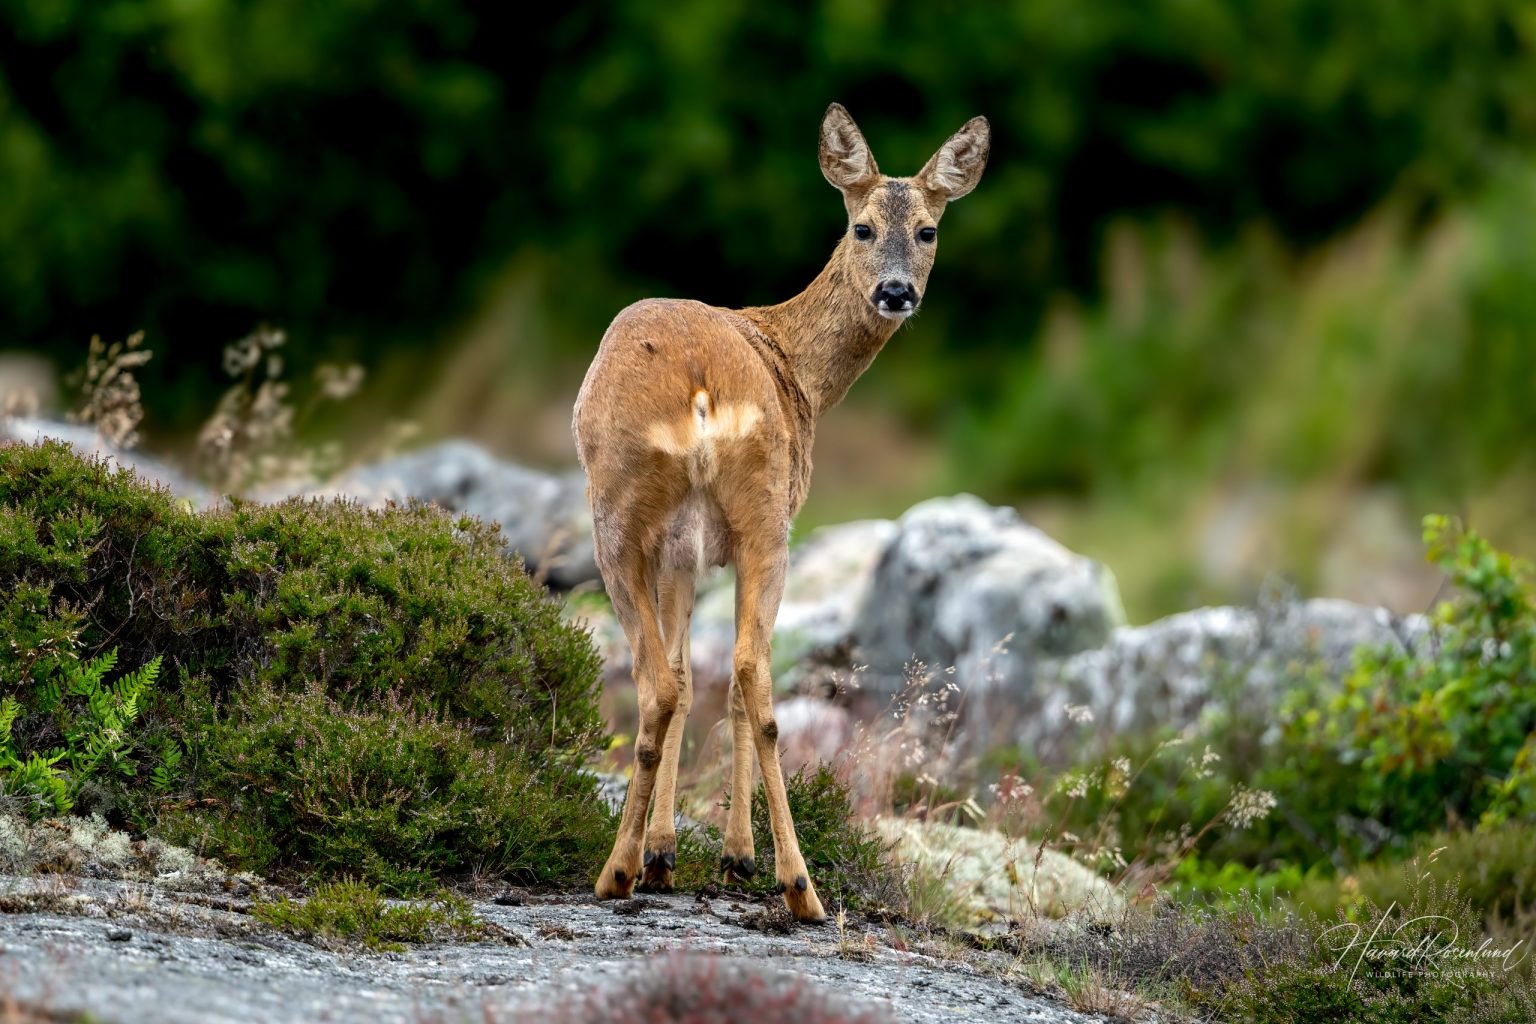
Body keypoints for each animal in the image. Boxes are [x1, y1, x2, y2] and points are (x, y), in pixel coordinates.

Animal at [572, 103, 989, 921]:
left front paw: (695, 854)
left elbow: (686, 678)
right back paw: (788, 883)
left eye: (928, 230)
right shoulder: (692, 547)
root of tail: (702, 386)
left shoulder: (686, 546)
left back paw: (636, 871)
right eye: (862, 226)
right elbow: (697, 678)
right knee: (738, 673)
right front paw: (682, 852)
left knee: (675, 680)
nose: (897, 292)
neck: (793, 360)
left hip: (637, 517)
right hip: (756, 517)